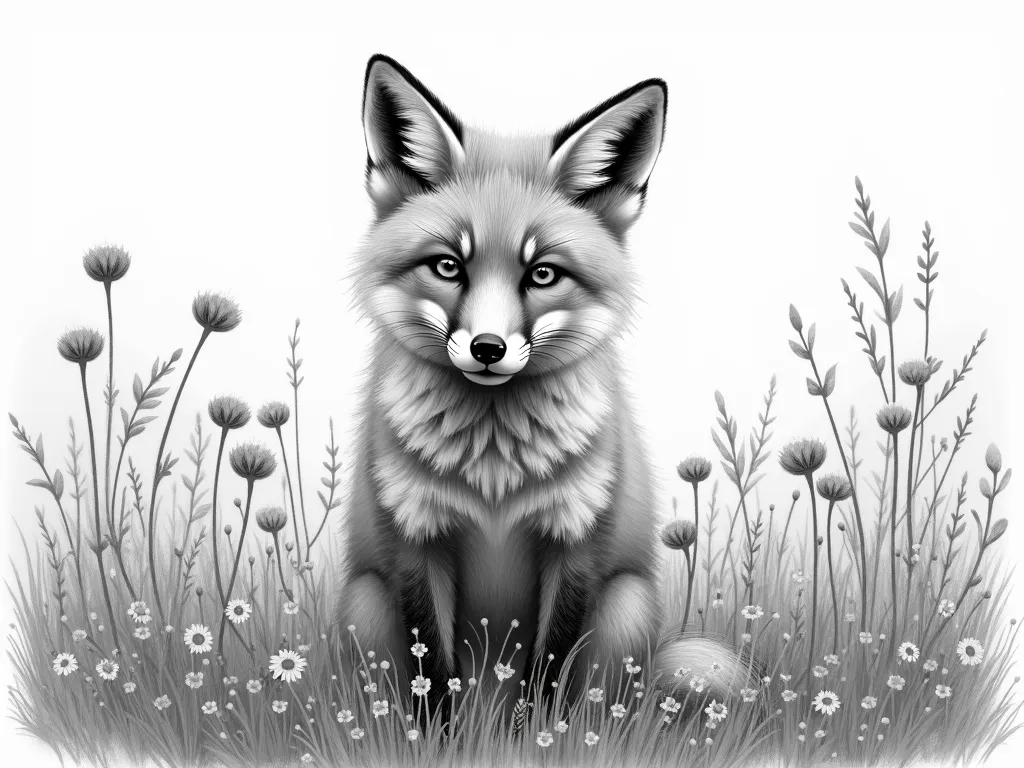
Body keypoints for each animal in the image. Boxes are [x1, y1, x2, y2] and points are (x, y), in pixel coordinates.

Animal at [335, 54, 751, 709]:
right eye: (448, 266)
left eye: (543, 274)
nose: (488, 349)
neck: (492, 473)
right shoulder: (413, 540)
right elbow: (436, 677)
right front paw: (447, 732)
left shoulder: (576, 540)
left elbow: (550, 670)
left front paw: (537, 730)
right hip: (364, 600)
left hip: (627, 601)